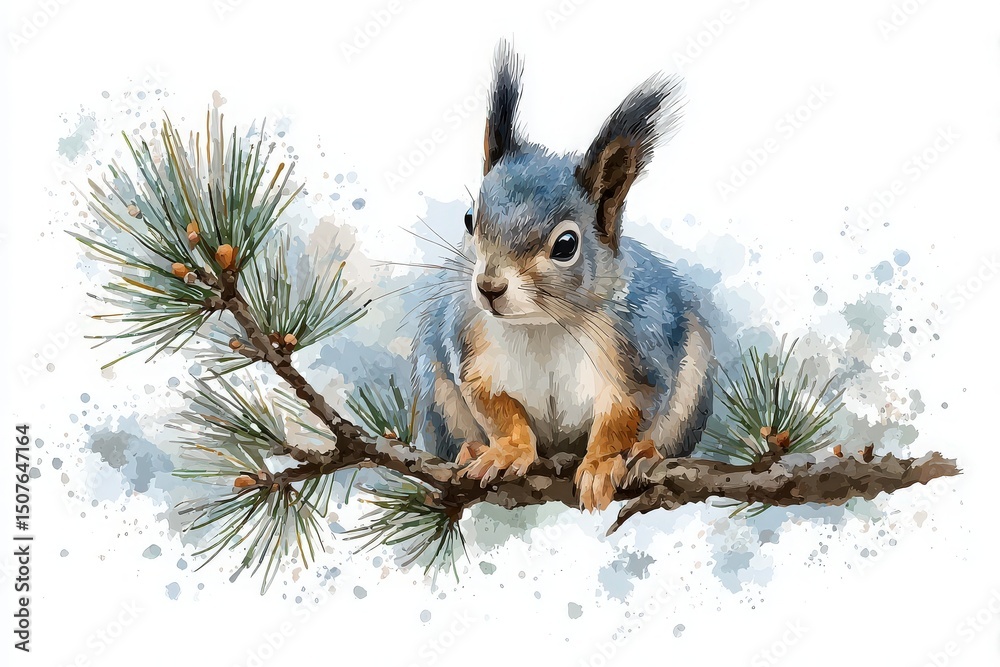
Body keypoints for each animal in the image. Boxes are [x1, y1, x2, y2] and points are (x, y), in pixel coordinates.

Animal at [411, 42, 714, 512]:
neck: (542, 324)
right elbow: (497, 408)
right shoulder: (471, 344)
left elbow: (625, 416)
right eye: (469, 219)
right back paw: (470, 449)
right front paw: (508, 451)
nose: (489, 288)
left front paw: (603, 464)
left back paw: (647, 456)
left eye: (566, 245)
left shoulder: (640, 351)